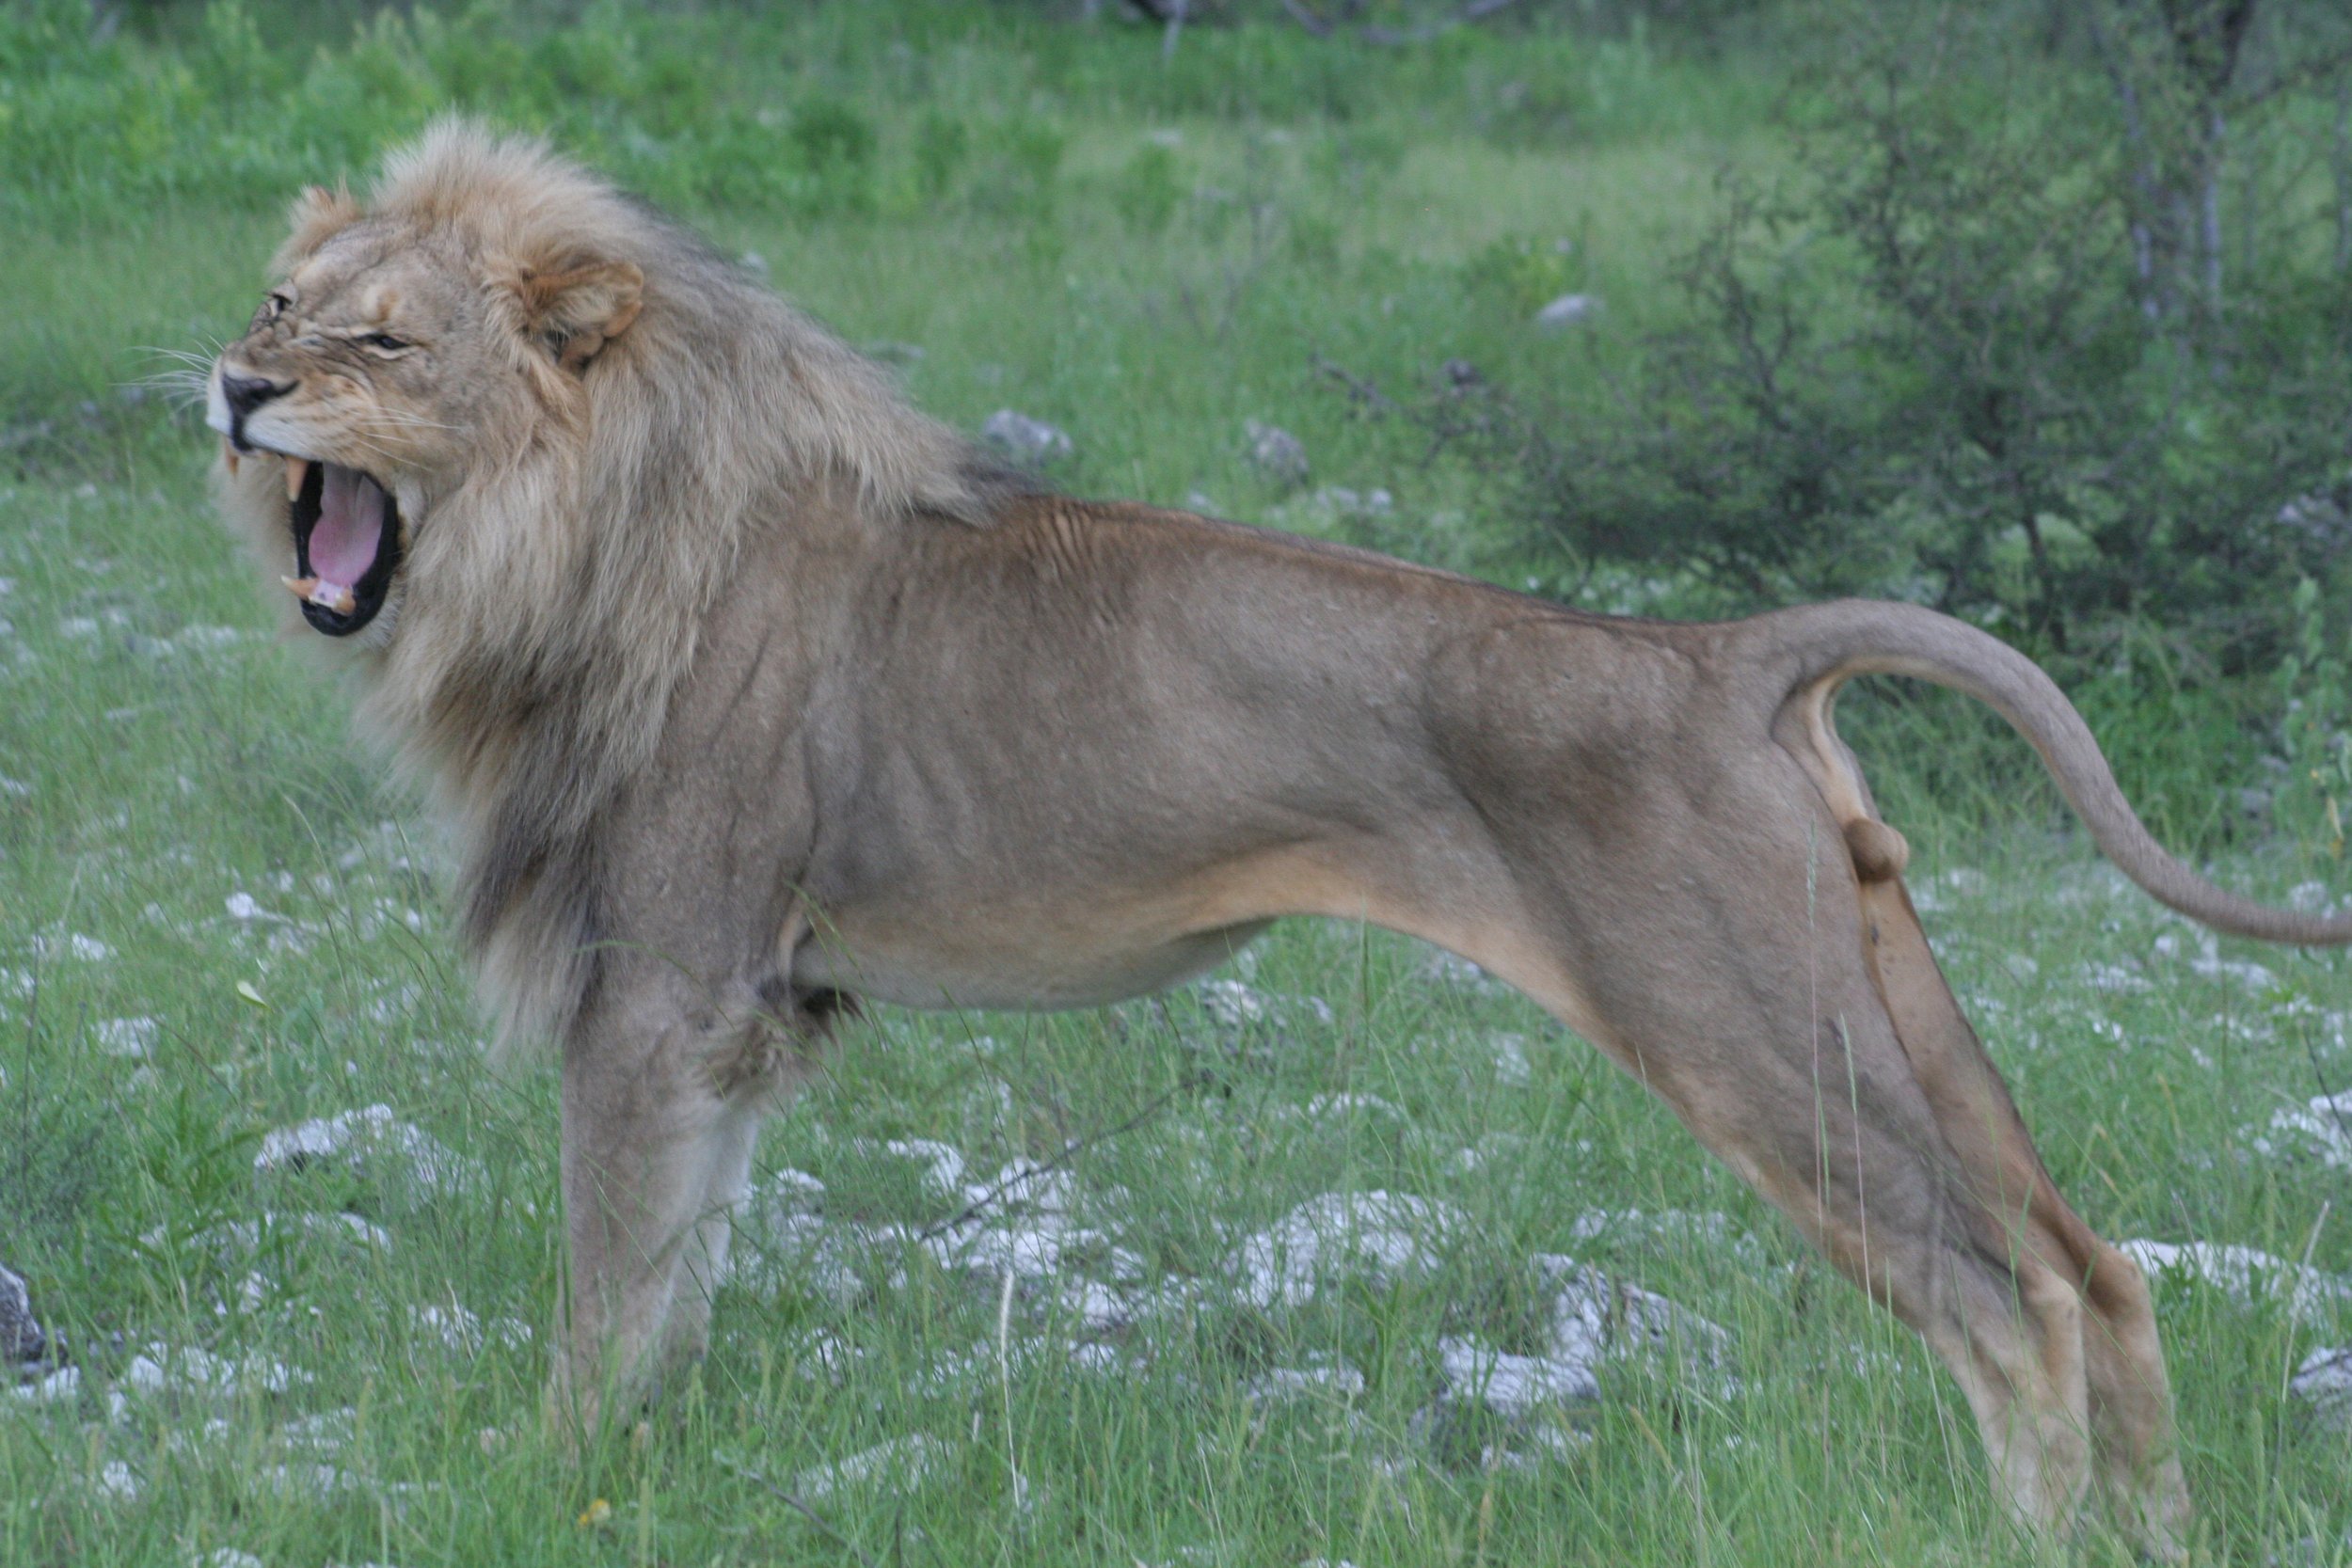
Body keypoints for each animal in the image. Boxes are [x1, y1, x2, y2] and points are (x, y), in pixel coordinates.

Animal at [205, 120, 2346, 1556]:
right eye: (278, 304)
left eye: (381, 346)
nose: (229, 385)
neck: (553, 553)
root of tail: (1723, 651)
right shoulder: (737, 1013)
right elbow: (680, 1287)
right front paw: (646, 1464)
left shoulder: (663, 980)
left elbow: (607, 1291)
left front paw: (550, 1479)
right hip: (1872, 990)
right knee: (2097, 1269)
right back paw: (2161, 1536)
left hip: (1748, 1024)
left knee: (2004, 1305)